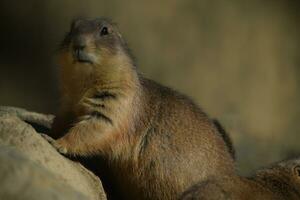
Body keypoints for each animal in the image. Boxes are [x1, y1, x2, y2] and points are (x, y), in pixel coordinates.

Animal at [45, 17, 234, 200]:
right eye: (72, 27)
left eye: (105, 30)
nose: (78, 44)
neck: (84, 84)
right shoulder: (69, 101)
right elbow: (63, 118)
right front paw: (52, 132)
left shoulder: (119, 101)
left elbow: (97, 126)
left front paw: (57, 143)